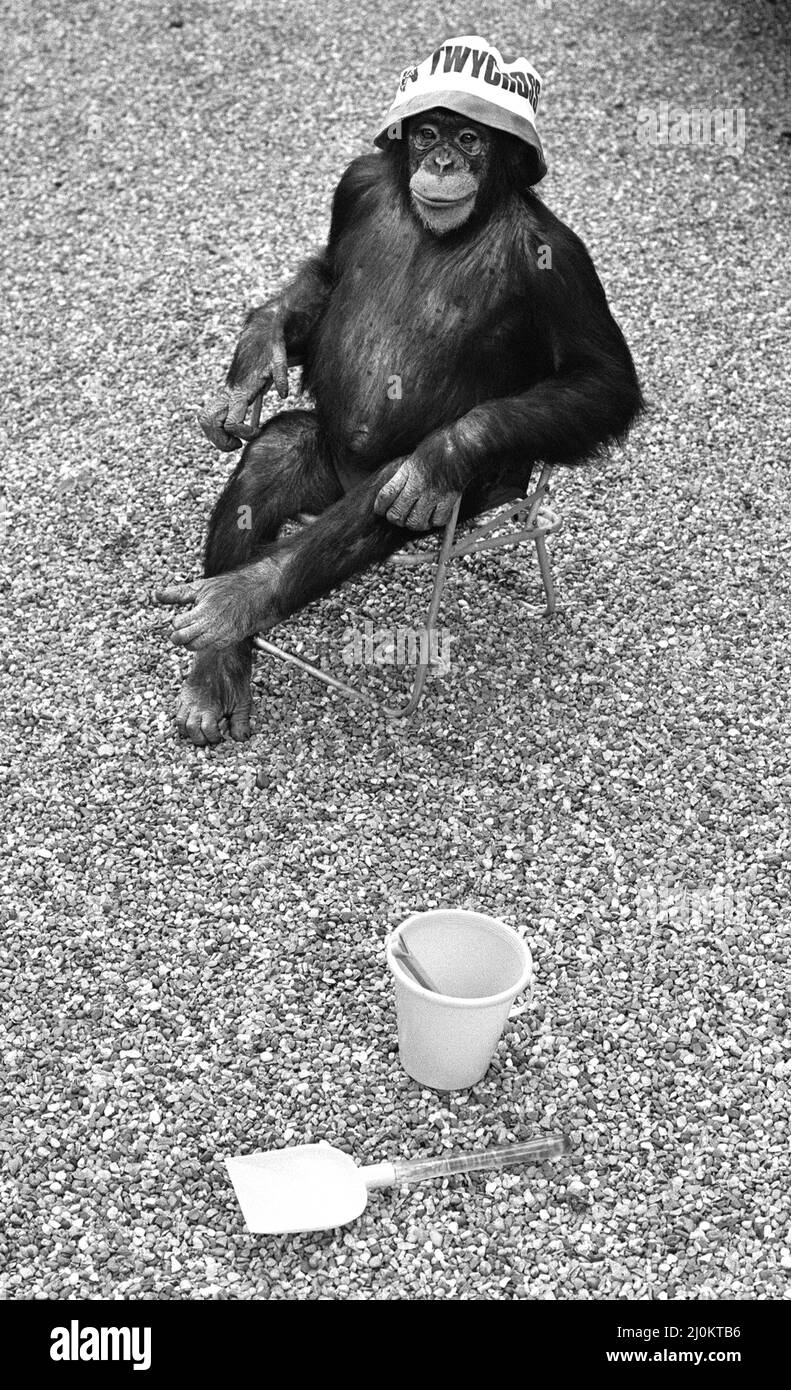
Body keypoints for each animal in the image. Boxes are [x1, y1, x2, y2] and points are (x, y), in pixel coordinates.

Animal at [155, 35, 642, 750]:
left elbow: (600, 378)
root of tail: (341, 476)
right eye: (428, 133)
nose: (441, 161)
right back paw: (217, 670)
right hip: (323, 462)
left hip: (484, 496)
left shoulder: (559, 260)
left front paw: (446, 450)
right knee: (273, 458)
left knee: (391, 493)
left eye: (470, 138)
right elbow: (327, 275)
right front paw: (255, 357)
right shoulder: (354, 183)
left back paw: (239, 599)